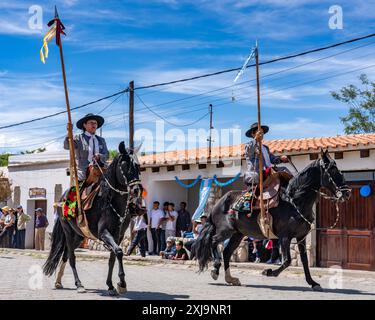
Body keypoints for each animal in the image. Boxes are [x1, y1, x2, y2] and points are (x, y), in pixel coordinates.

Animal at [42, 142, 145, 296]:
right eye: (125, 165)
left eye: (138, 166)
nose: (136, 190)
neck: (111, 201)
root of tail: (61, 200)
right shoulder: (104, 233)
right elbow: (119, 252)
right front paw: (122, 283)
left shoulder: (118, 235)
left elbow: (113, 258)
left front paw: (111, 285)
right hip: (68, 232)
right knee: (71, 257)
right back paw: (79, 284)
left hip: (78, 236)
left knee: (66, 255)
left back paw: (58, 281)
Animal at [194, 149, 352, 290]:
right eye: (332, 170)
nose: (347, 193)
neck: (294, 201)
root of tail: (218, 203)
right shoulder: (285, 237)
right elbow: (287, 261)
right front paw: (268, 271)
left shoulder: (300, 237)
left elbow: (304, 261)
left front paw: (313, 283)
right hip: (225, 230)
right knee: (214, 242)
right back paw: (215, 269)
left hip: (238, 234)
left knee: (226, 252)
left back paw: (231, 279)